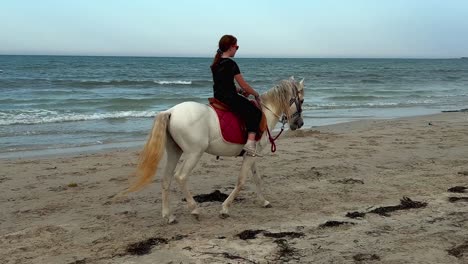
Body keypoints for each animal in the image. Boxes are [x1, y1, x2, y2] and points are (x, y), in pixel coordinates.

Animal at [126, 76, 306, 223]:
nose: (299, 123)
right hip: (194, 153)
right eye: (302, 100)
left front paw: (263, 201)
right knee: (181, 177)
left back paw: (168, 216)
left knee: (166, 179)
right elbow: (241, 181)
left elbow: (257, 179)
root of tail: (171, 111)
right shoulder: (250, 156)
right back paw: (194, 209)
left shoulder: (252, 155)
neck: (264, 115)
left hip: (174, 152)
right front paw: (225, 209)